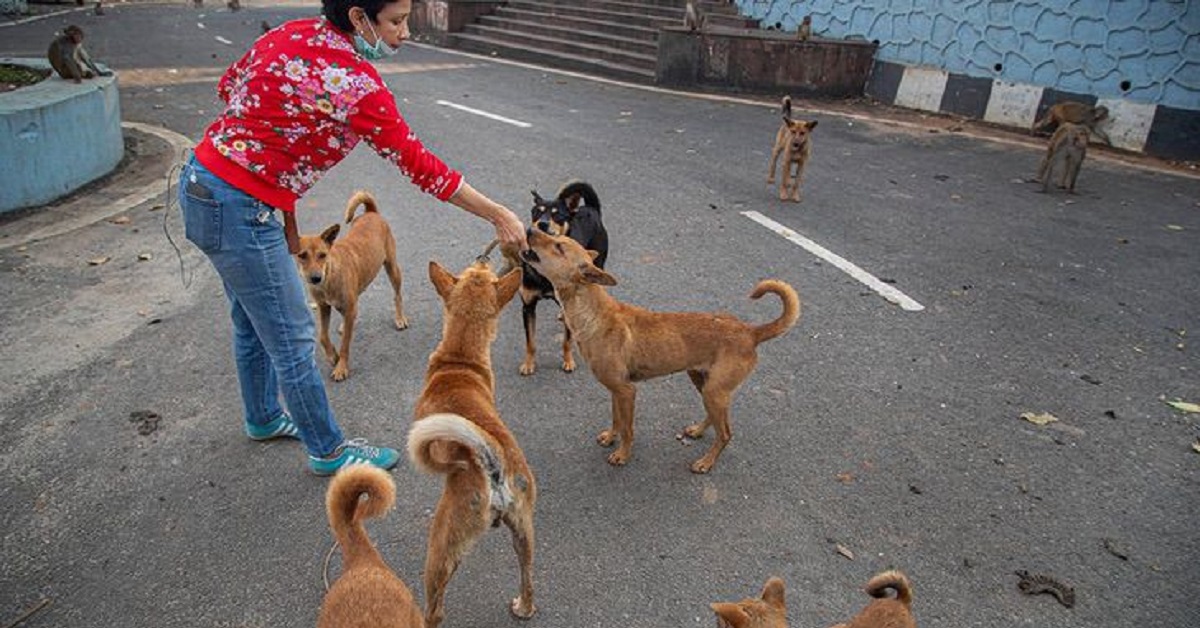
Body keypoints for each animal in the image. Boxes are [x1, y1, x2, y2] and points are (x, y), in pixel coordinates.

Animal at [292, 189, 410, 381]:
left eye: (322, 255)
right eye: (302, 255)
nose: (315, 278)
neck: (329, 275)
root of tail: (371, 212)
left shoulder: (345, 306)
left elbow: (345, 344)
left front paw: (341, 367)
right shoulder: (323, 307)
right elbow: (322, 336)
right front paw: (332, 356)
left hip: (392, 268)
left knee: (397, 295)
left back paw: (400, 318)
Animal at [408, 259, 535, 628]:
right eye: (473, 273)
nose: (482, 258)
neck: (460, 360)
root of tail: (492, 463)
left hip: (442, 548)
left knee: (435, 609)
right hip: (524, 532)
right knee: (528, 578)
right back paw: (524, 607)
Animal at [518, 181, 609, 379]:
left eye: (557, 214)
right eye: (537, 212)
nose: (542, 224)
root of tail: (590, 208)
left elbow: (567, 341)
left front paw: (568, 361)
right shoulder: (528, 306)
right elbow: (530, 342)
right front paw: (528, 364)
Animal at [520, 229, 801, 470]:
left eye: (559, 246)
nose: (530, 229)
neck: (593, 313)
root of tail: (751, 332)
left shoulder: (626, 391)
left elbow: (628, 429)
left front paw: (623, 455)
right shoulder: (616, 391)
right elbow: (616, 420)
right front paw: (611, 438)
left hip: (714, 391)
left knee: (726, 433)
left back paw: (706, 463)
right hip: (703, 381)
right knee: (717, 419)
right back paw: (698, 431)